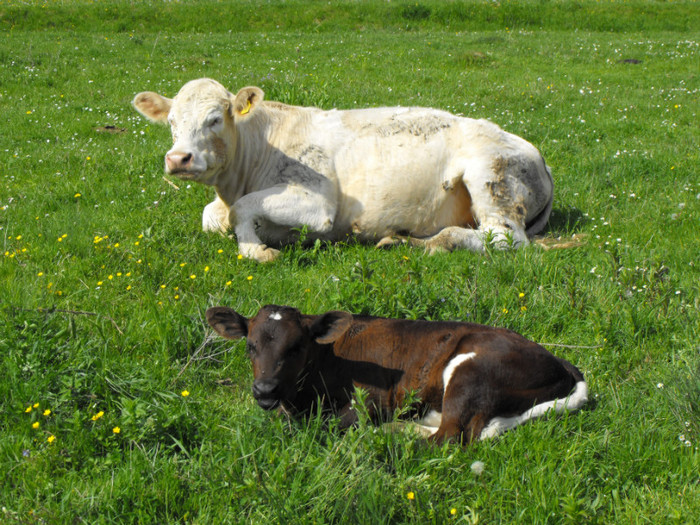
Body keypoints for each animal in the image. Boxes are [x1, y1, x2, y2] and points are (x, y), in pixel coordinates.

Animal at [134, 78, 552, 262]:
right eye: (171, 121)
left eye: (215, 119)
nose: (179, 159)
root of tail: (536, 153)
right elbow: (213, 217)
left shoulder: (317, 201)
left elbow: (242, 210)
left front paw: (256, 249)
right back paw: (403, 241)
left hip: (491, 178)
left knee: (504, 237)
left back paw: (439, 241)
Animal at [205, 302, 588, 442]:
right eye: (250, 345)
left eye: (297, 346)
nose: (265, 389)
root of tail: (559, 361)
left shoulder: (370, 401)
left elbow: (329, 425)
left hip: (470, 375)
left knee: (449, 437)